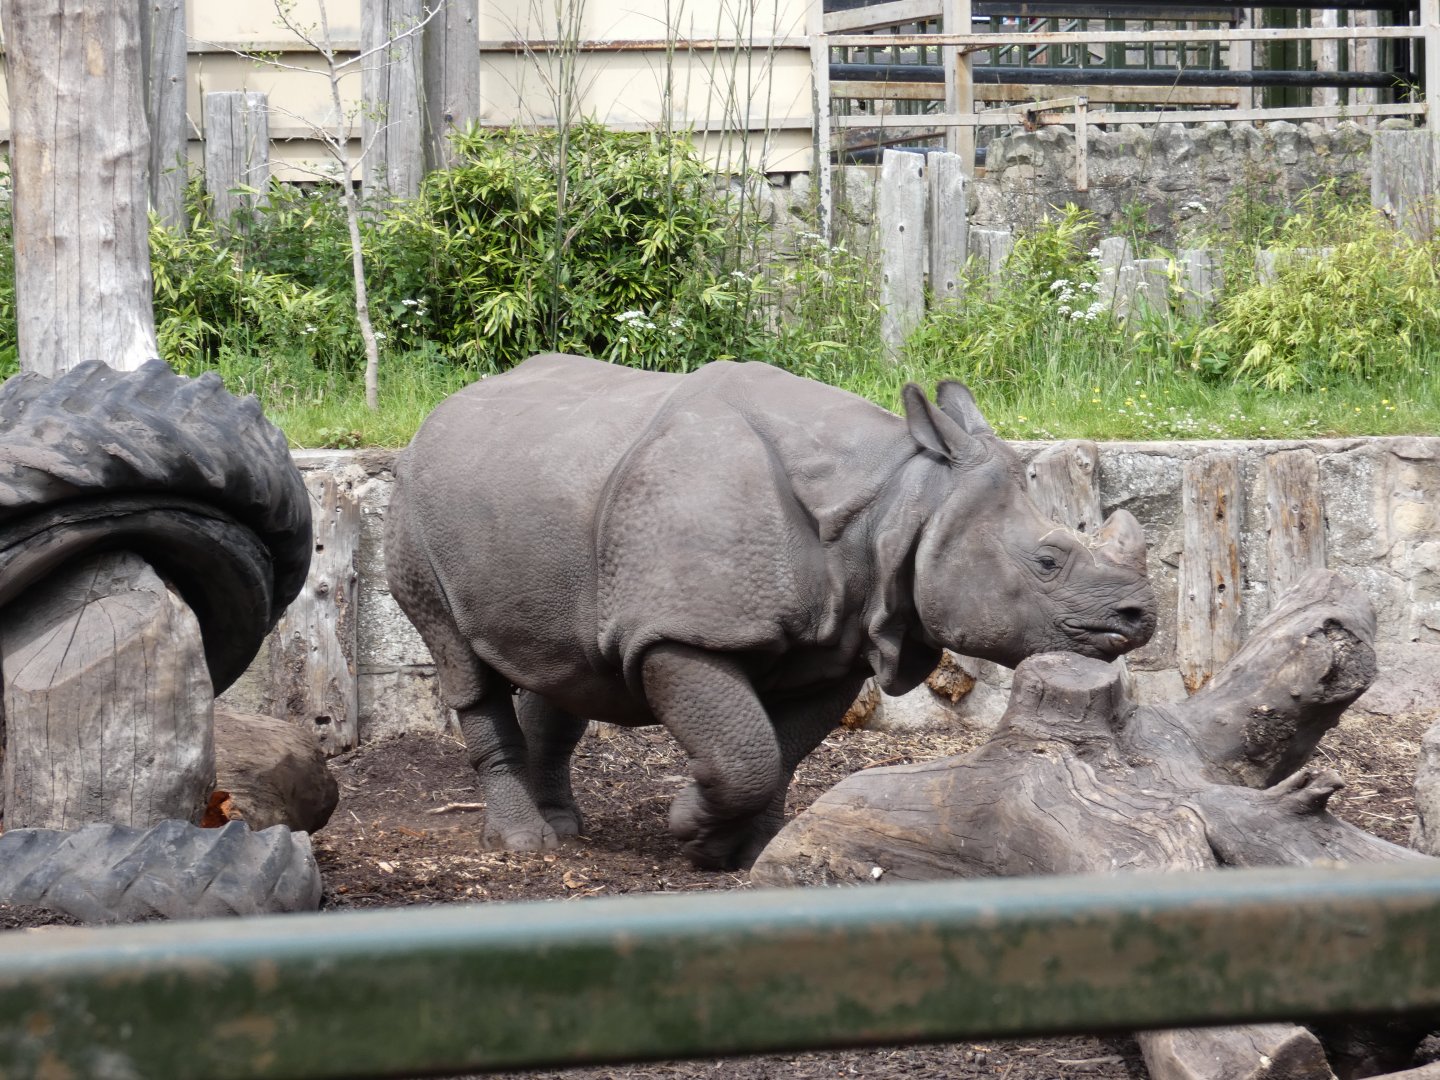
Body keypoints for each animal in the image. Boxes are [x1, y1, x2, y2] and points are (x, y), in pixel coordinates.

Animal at [385, 353, 1156, 869]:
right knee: (461, 662)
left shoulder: (838, 644)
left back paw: (565, 827)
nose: (1141, 617)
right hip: (413, 508)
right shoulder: (681, 635)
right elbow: (744, 751)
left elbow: (779, 752)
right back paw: (526, 844)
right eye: (1048, 562)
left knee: (565, 664)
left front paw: (747, 850)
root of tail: (437, 414)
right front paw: (691, 830)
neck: (900, 501)